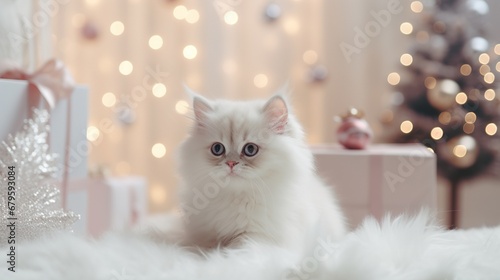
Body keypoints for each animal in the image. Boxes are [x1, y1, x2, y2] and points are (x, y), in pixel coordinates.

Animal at [178, 92, 346, 252]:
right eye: (217, 149)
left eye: (250, 149)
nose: (231, 163)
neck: (237, 198)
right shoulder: (203, 235)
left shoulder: (257, 237)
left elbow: (236, 250)